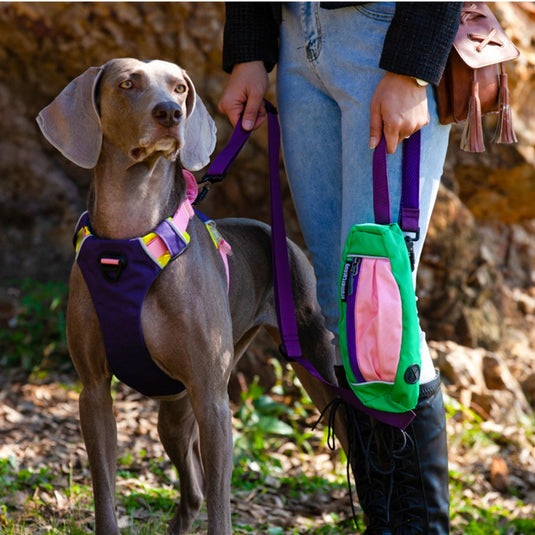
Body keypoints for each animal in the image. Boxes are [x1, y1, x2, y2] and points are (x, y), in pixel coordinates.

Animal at [37, 58, 348, 535]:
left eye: (180, 87)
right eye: (127, 84)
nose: (170, 113)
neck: (130, 235)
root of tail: (275, 234)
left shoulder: (213, 400)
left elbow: (221, 508)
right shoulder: (93, 390)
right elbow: (104, 490)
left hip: (312, 360)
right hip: (174, 412)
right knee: (194, 488)